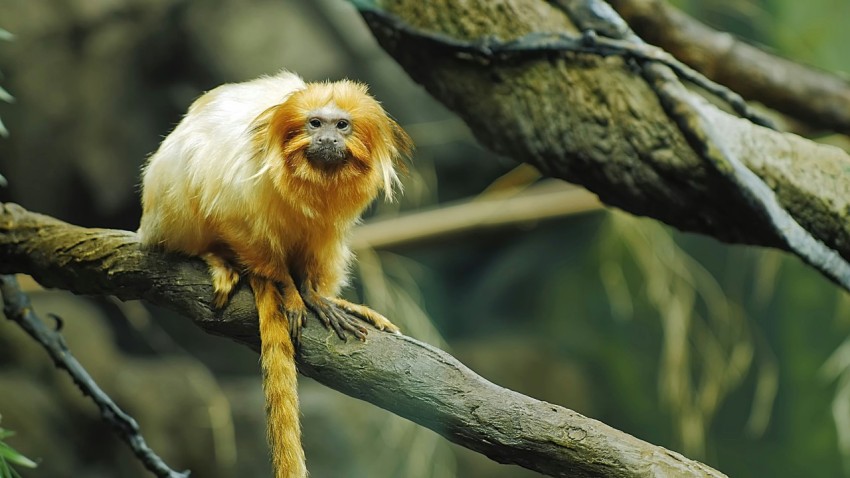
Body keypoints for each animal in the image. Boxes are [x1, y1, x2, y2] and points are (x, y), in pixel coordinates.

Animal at [137, 70, 413, 478]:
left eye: (341, 126)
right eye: (314, 124)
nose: (327, 139)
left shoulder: (326, 230)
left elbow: (319, 243)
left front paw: (313, 294)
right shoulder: (242, 194)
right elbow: (235, 218)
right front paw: (288, 290)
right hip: (166, 213)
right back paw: (219, 260)